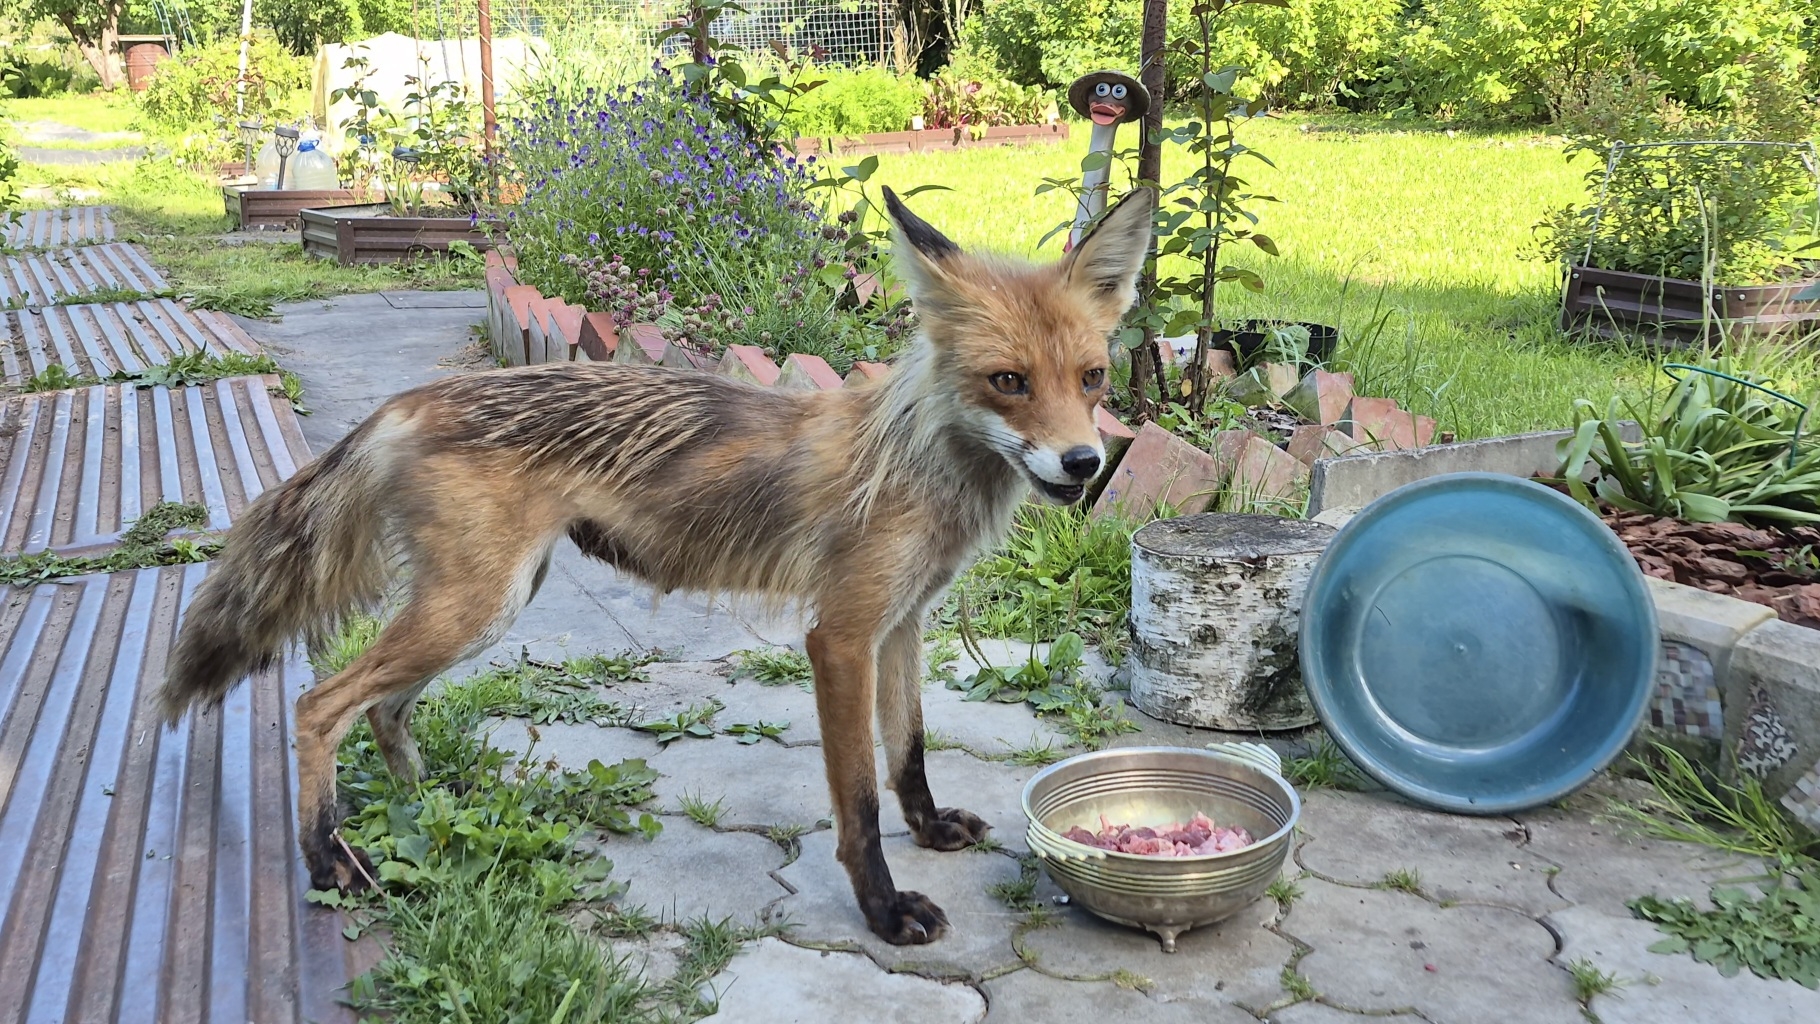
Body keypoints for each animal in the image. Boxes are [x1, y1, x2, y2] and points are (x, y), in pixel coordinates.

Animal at [154, 184, 1155, 945]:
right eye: (1008, 382)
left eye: (1094, 379)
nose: (1083, 464)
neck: (919, 464)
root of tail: (409, 400)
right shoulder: (840, 637)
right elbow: (859, 803)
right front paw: (882, 909)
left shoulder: (903, 622)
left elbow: (908, 751)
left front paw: (932, 826)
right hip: (473, 606)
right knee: (320, 705)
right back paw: (330, 860)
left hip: (488, 605)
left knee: (385, 709)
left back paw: (440, 806)